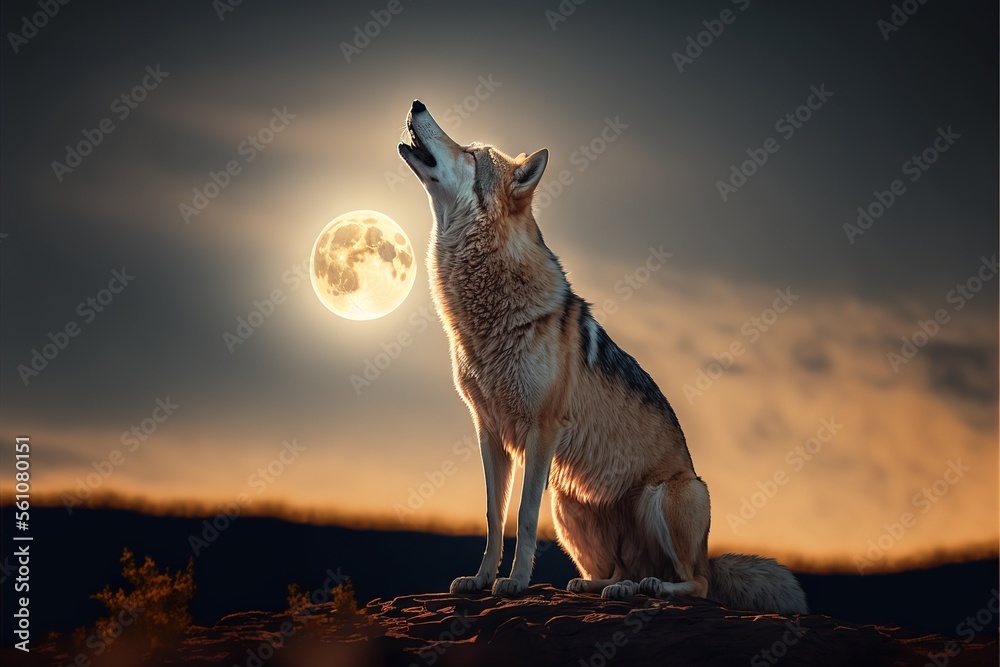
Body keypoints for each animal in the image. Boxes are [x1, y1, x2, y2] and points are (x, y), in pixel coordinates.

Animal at [397, 99, 808, 614]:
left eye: (472, 153)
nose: (416, 103)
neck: (483, 312)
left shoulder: (542, 430)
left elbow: (524, 517)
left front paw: (515, 583)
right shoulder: (489, 431)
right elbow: (494, 516)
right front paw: (482, 579)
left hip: (664, 495)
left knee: (695, 583)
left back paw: (652, 588)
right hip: (570, 503)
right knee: (617, 571)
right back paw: (610, 587)